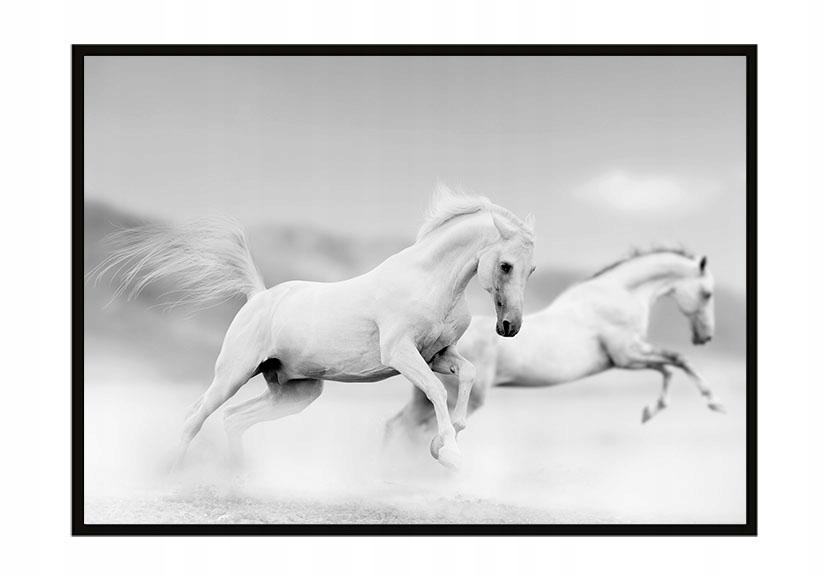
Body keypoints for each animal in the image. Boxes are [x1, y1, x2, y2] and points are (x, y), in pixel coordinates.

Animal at [92, 187, 536, 470]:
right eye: (505, 265)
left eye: (530, 269)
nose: (510, 327)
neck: (428, 281)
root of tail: (258, 296)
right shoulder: (401, 354)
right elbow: (435, 391)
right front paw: (450, 454)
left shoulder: (438, 354)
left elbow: (468, 375)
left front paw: (446, 439)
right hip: (233, 374)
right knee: (195, 417)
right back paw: (172, 473)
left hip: (296, 391)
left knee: (233, 419)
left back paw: (241, 480)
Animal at [385, 247, 724, 447]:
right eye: (707, 293)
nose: (706, 337)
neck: (619, 294)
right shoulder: (626, 354)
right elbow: (678, 360)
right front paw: (714, 403)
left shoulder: (629, 356)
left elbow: (668, 368)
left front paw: (649, 412)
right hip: (461, 397)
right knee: (420, 431)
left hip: (426, 397)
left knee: (399, 426)